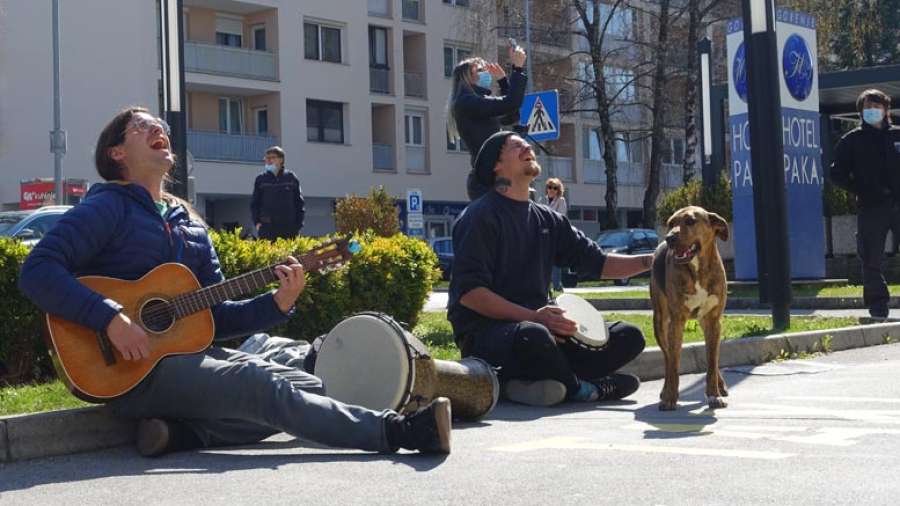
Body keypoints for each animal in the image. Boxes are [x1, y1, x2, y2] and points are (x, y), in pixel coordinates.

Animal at [652, 206, 732, 412]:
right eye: (671, 223)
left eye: (690, 221)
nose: (669, 238)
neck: (697, 269)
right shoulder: (676, 322)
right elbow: (673, 363)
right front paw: (670, 398)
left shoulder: (713, 320)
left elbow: (712, 362)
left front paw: (714, 395)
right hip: (660, 322)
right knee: (668, 358)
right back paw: (666, 390)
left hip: (705, 323)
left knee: (713, 358)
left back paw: (721, 385)